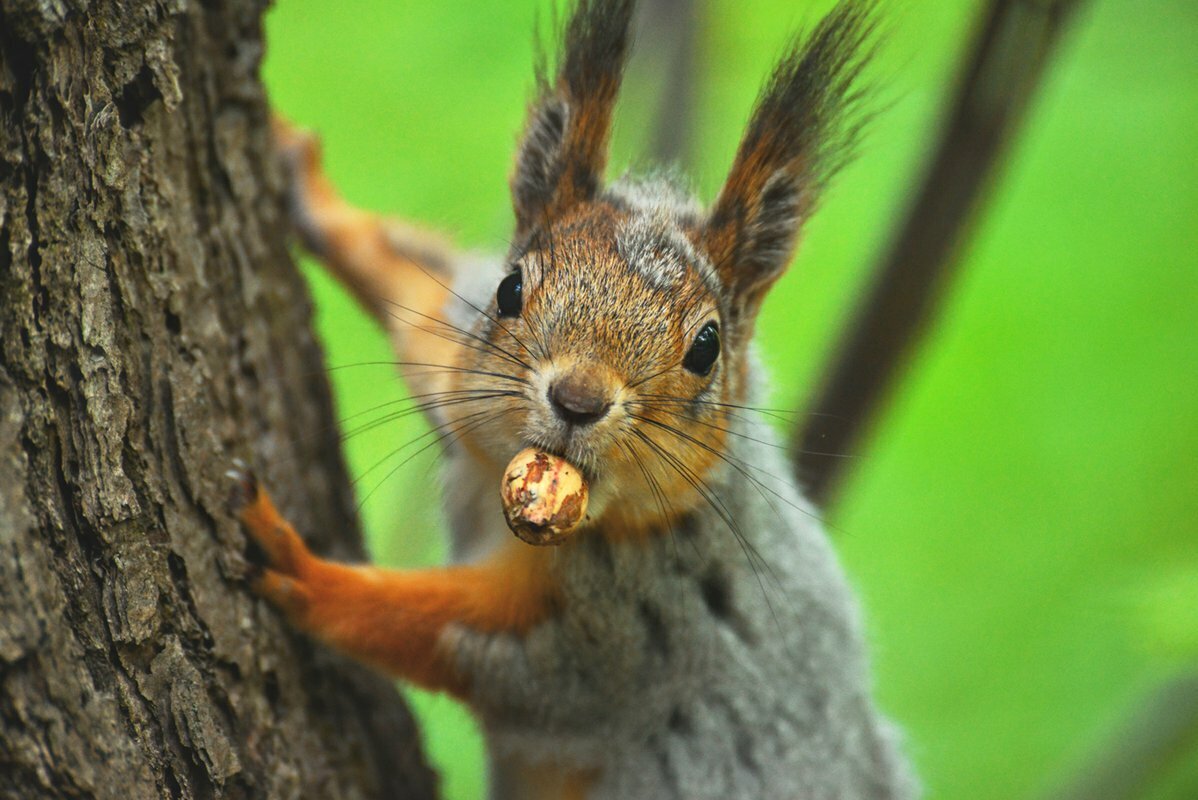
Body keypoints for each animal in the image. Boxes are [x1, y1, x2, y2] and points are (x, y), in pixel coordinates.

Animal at [226, 0, 915, 795]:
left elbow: (452, 640)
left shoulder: (626, 637)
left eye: (707, 348)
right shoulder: (464, 376)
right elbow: (419, 302)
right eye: (509, 289)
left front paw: (298, 566)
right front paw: (307, 185)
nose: (578, 400)